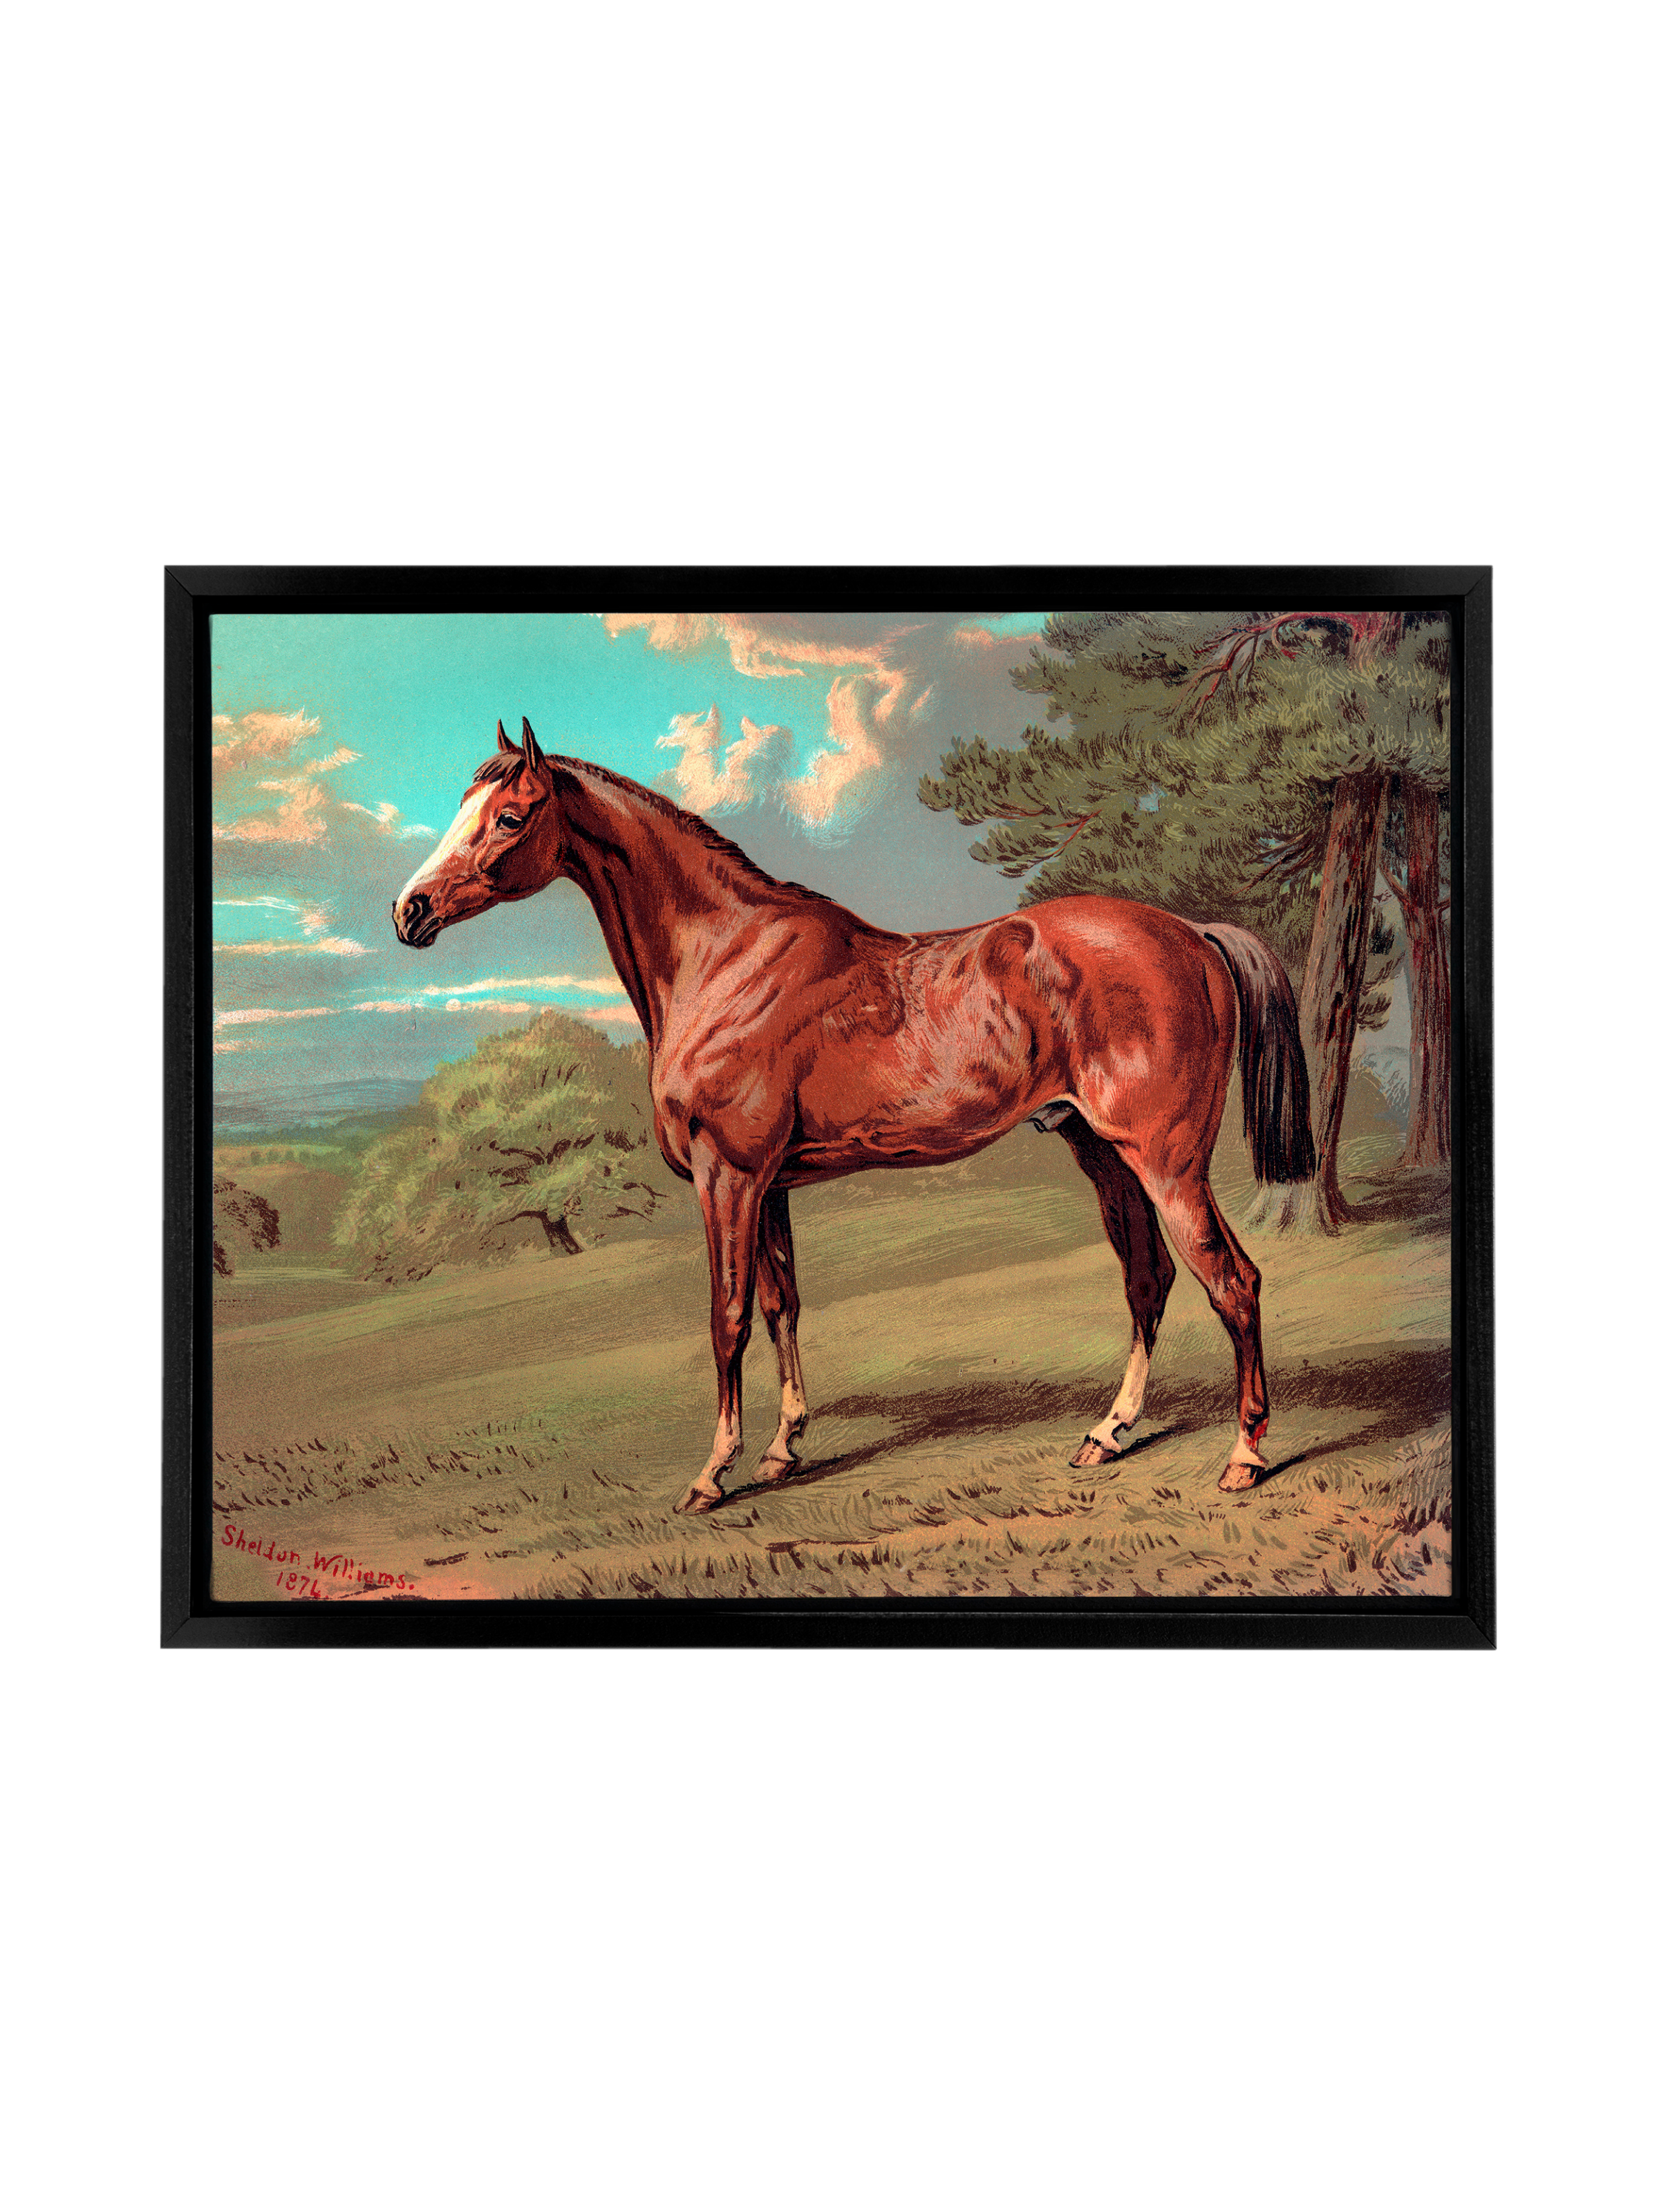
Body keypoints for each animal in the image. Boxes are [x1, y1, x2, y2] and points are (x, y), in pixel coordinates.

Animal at [394, 718, 1316, 1513]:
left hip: (1166, 1161)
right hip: (1101, 1152)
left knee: (1232, 1281)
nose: (410, 910)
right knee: (1148, 1280)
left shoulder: (728, 1177)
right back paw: (1108, 1433)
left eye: (509, 815)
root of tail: (1192, 932)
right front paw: (782, 1449)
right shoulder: (769, 1185)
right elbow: (782, 1304)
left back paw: (1245, 1456)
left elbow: (727, 1317)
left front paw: (712, 1474)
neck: (725, 958)